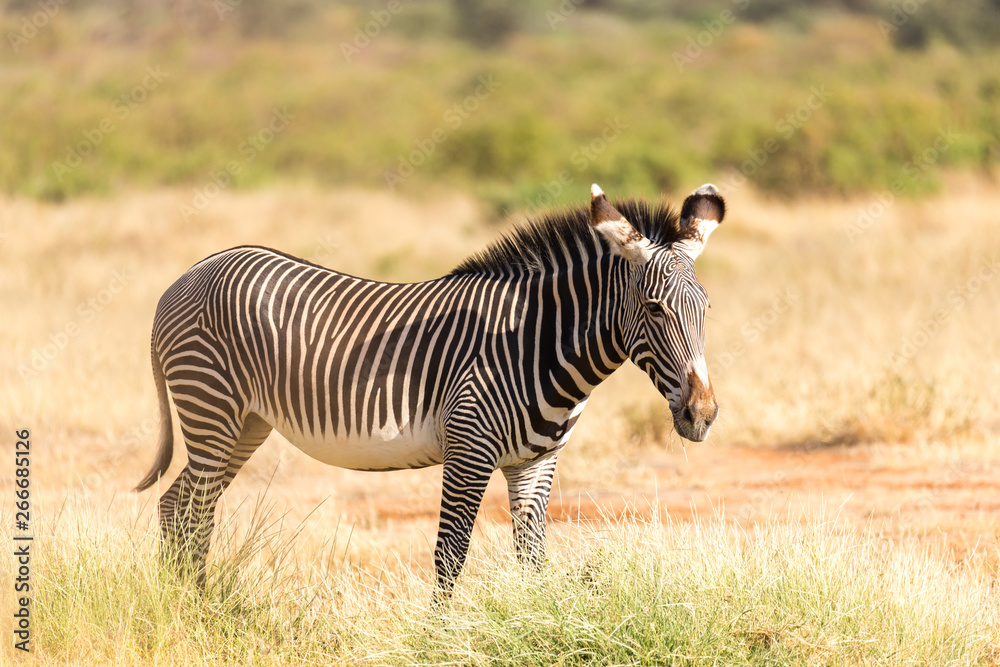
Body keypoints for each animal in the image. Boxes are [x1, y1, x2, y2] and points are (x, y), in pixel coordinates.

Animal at [135, 183, 725, 595]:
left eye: (707, 308)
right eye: (654, 308)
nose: (702, 415)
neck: (534, 341)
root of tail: (191, 272)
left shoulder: (536, 461)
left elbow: (533, 559)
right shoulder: (469, 449)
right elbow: (450, 555)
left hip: (245, 423)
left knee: (181, 504)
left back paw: (191, 605)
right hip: (211, 407)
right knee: (190, 509)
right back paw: (191, 608)